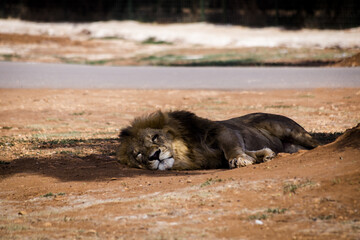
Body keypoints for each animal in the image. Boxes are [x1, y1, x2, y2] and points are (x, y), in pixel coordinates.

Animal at [118, 110, 318, 171]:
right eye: (139, 155)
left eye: (155, 137)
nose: (154, 155)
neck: (189, 151)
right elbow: (249, 151)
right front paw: (264, 155)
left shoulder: (223, 131)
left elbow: (232, 148)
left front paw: (240, 159)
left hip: (290, 130)